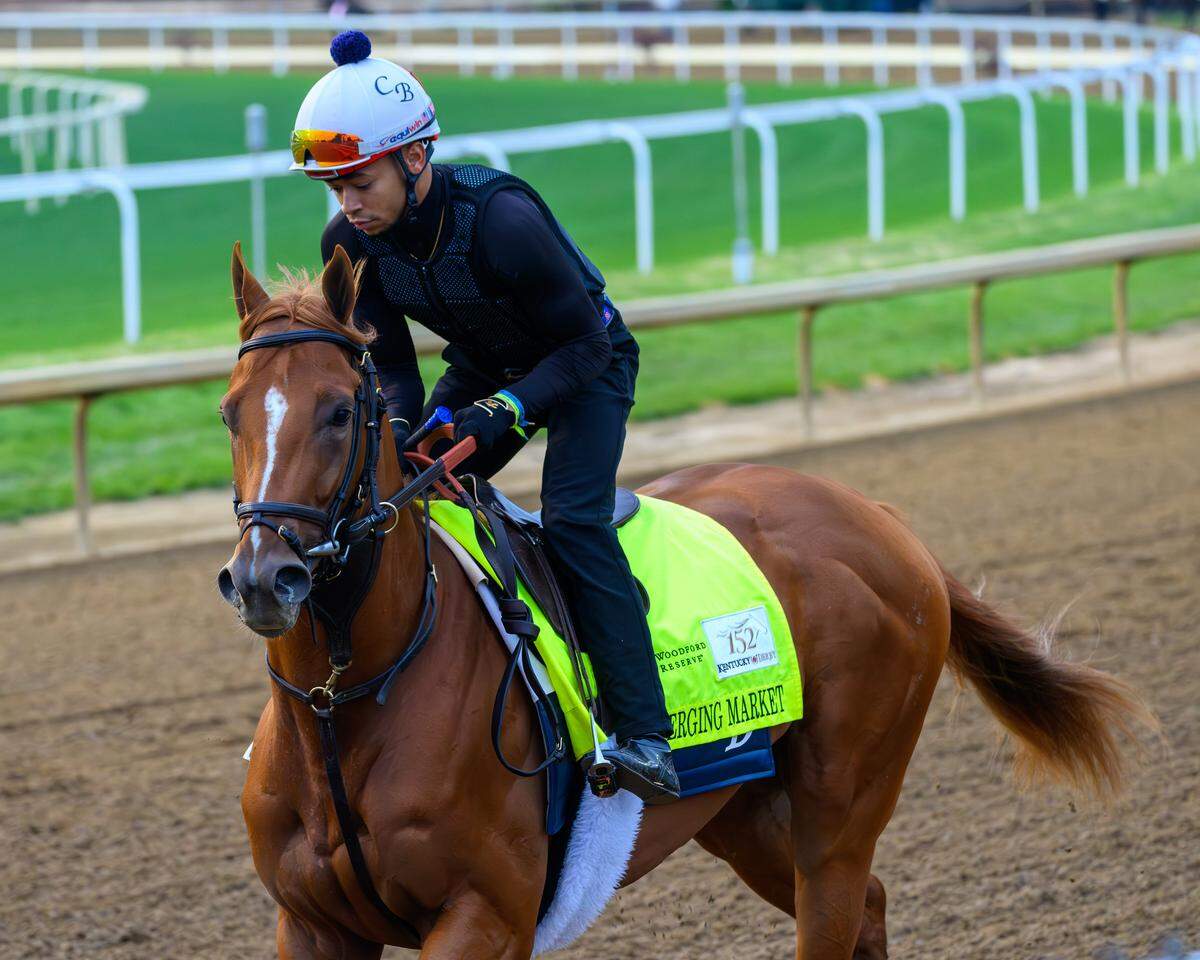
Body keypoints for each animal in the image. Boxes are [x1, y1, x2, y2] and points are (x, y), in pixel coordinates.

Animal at [218, 242, 1153, 960]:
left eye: (340, 411)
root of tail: (880, 518)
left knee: (839, 904)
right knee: (874, 909)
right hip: (744, 811)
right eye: (231, 413)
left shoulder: (486, 913)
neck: (345, 702)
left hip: (841, 807)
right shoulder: (313, 925)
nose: (266, 576)